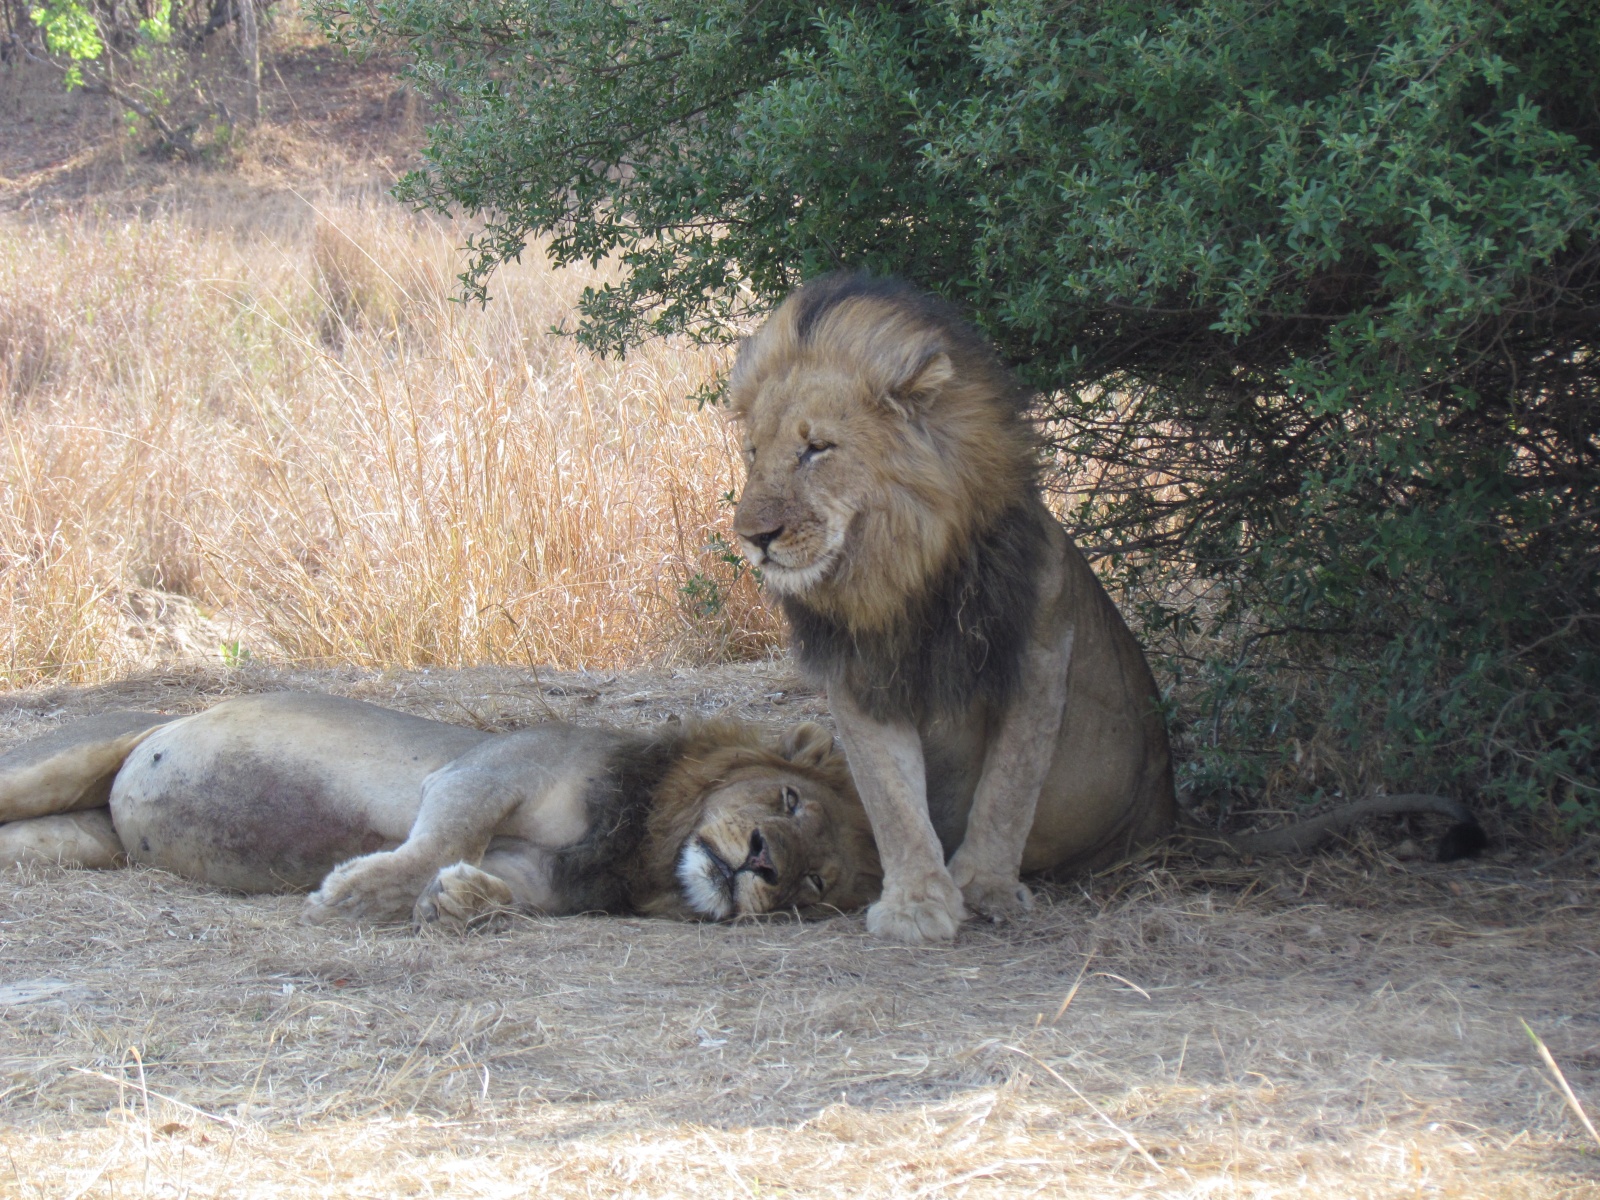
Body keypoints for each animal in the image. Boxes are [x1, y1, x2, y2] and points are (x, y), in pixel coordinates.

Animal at [0, 692, 881, 927]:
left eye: (814, 885)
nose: (763, 860)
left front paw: (462, 901)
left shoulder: (539, 873)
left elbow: (490, 887)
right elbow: (439, 837)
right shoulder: (491, 769)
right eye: (787, 799)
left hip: (78, 840)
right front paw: (354, 895)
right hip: (63, 760)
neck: (644, 845)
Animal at [730, 274, 1483, 944]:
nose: (752, 538)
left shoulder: (1039, 652)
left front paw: (984, 890)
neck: (902, 571)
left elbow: (1007, 789)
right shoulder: (863, 677)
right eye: (754, 451)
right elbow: (893, 801)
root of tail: (1173, 813)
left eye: (817, 448)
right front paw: (918, 903)